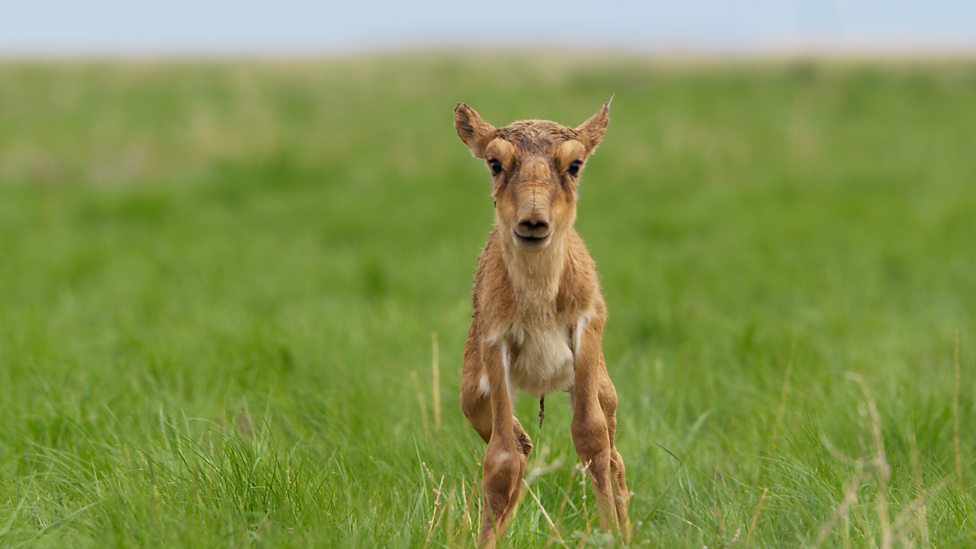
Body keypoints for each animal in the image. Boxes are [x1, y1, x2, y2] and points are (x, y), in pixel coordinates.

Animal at [452, 101, 628, 544]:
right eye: (495, 163)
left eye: (575, 164)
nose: (533, 222)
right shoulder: (494, 345)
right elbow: (500, 462)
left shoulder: (587, 328)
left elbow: (591, 439)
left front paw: (613, 535)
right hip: (473, 396)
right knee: (520, 444)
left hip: (603, 388)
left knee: (614, 458)